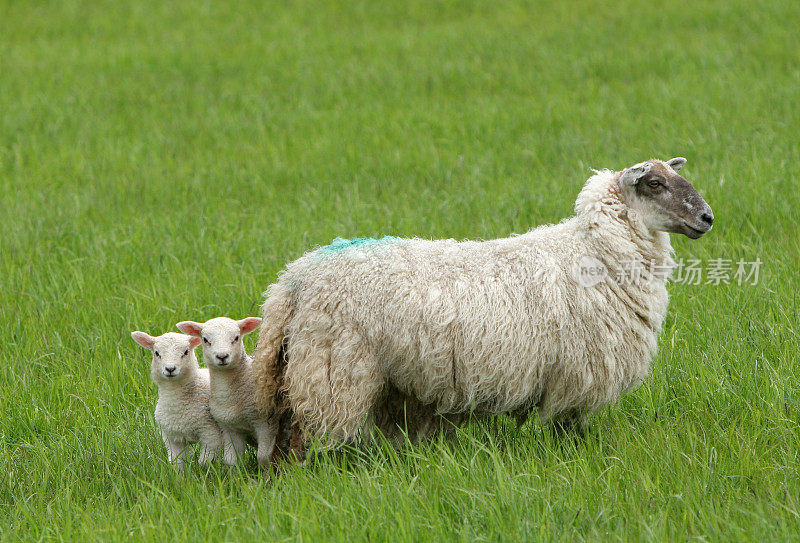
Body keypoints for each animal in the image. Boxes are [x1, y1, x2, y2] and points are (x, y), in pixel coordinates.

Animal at [130, 330, 222, 470]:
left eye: (186, 352)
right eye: (157, 353)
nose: (170, 369)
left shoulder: (210, 432)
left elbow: (205, 462)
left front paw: (203, 473)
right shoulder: (171, 437)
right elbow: (177, 463)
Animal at [174, 318, 276, 468]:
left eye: (236, 338)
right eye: (205, 339)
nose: (222, 356)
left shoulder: (265, 424)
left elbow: (263, 457)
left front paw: (268, 474)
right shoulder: (229, 427)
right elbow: (231, 460)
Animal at [255, 155, 712, 452]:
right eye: (654, 184)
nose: (707, 217)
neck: (593, 251)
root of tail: (293, 280)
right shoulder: (578, 375)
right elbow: (569, 429)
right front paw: (575, 460)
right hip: (335, 371)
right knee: (305, 438)